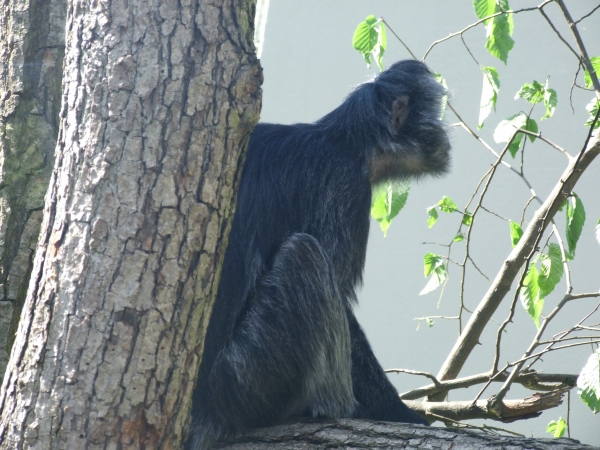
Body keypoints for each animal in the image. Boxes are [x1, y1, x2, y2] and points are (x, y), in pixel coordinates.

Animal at [188, 60, 450, 450]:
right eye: (435, 116)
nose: (445, 137)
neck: (339, 139)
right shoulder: (343, 185)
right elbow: (340, 295)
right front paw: (399, 414)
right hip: (246, 378)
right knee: (304, 254)